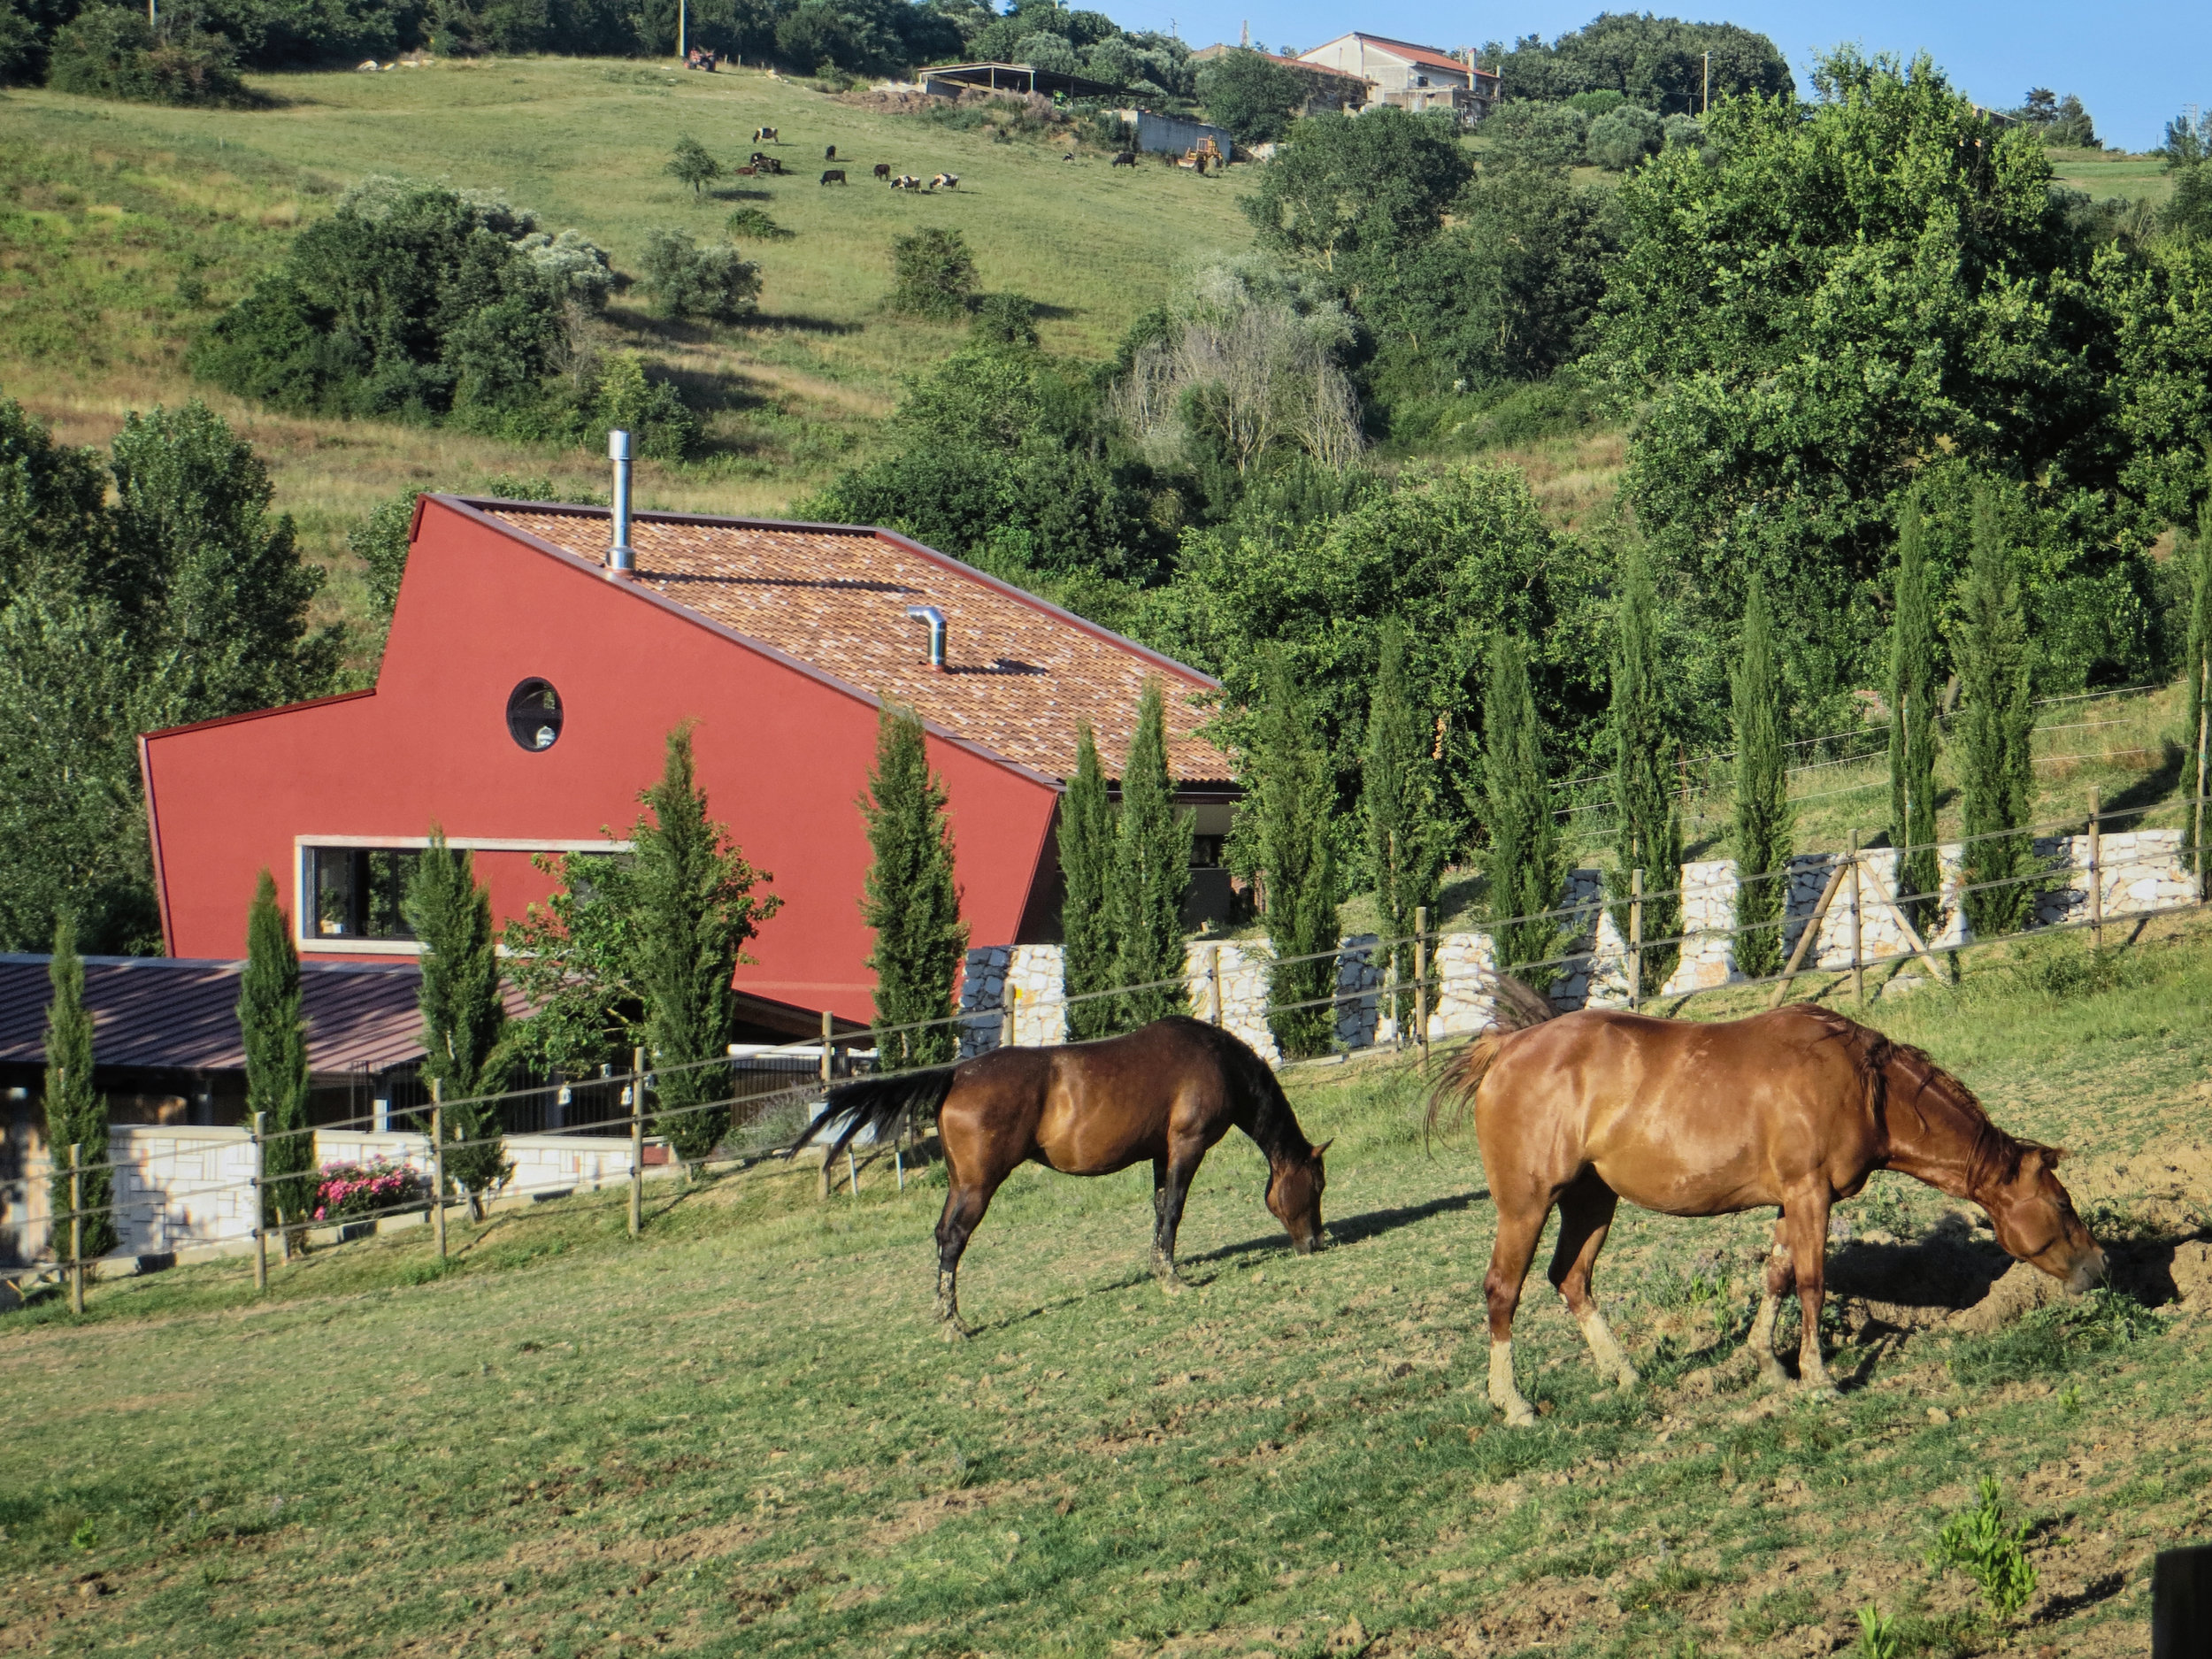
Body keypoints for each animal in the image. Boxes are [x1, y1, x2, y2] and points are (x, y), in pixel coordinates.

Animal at [787, 1022, 1318, 1345]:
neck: (1215, 1060)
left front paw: (1158, 1267)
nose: (1316, 1242)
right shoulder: (1187, 1147)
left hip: (961, 1184)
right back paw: (955, 1324)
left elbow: (1159, 1209)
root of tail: (956, 1075)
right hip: (978, 1188)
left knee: (941, 1236)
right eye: (1316, 1187)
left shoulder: (1160, 1153)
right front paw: (1173, 1278)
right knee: (954, 1239)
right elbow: (1173, 1210)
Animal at [1433, 1000, 2106, 1433]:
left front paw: (1768, 1363)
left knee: (1571, 1279)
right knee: (1503, 1291)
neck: (1865, 1085)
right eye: (2063, 1203)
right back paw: (1514, 1404)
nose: (2099, 1265)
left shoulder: (1791, 1200)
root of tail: (1507, 1048)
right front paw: (1818, 1377)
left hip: (1592, 1200)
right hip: (1527, 1205)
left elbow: (1777, 1276)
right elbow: (1811, 1281)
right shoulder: (1811, 1194)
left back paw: (1623, 1373)